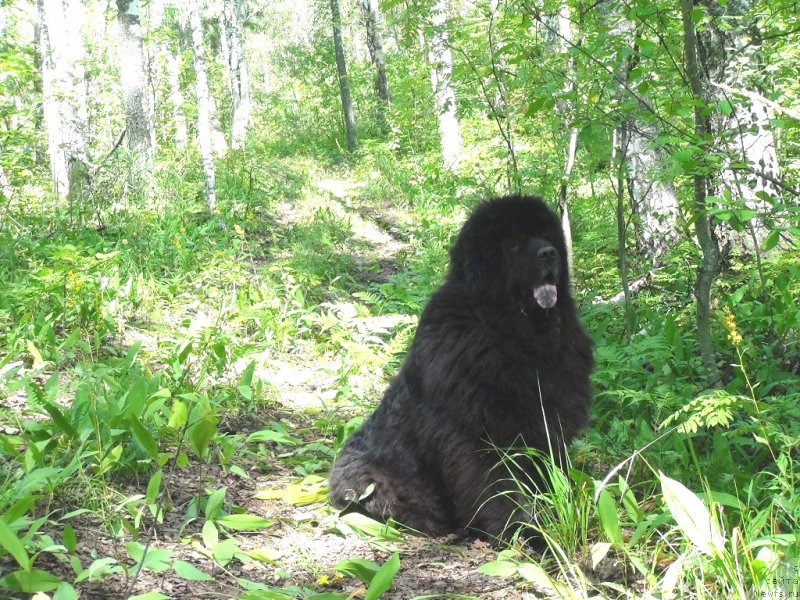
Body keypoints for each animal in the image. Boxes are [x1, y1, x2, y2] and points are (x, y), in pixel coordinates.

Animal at [326, 196, 592, 540]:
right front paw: (521, 532)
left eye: (545, 234)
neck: (512, 331)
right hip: (370, 478)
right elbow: (497, 488)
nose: (549, 253)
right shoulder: (478, 436)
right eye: (514, 244)